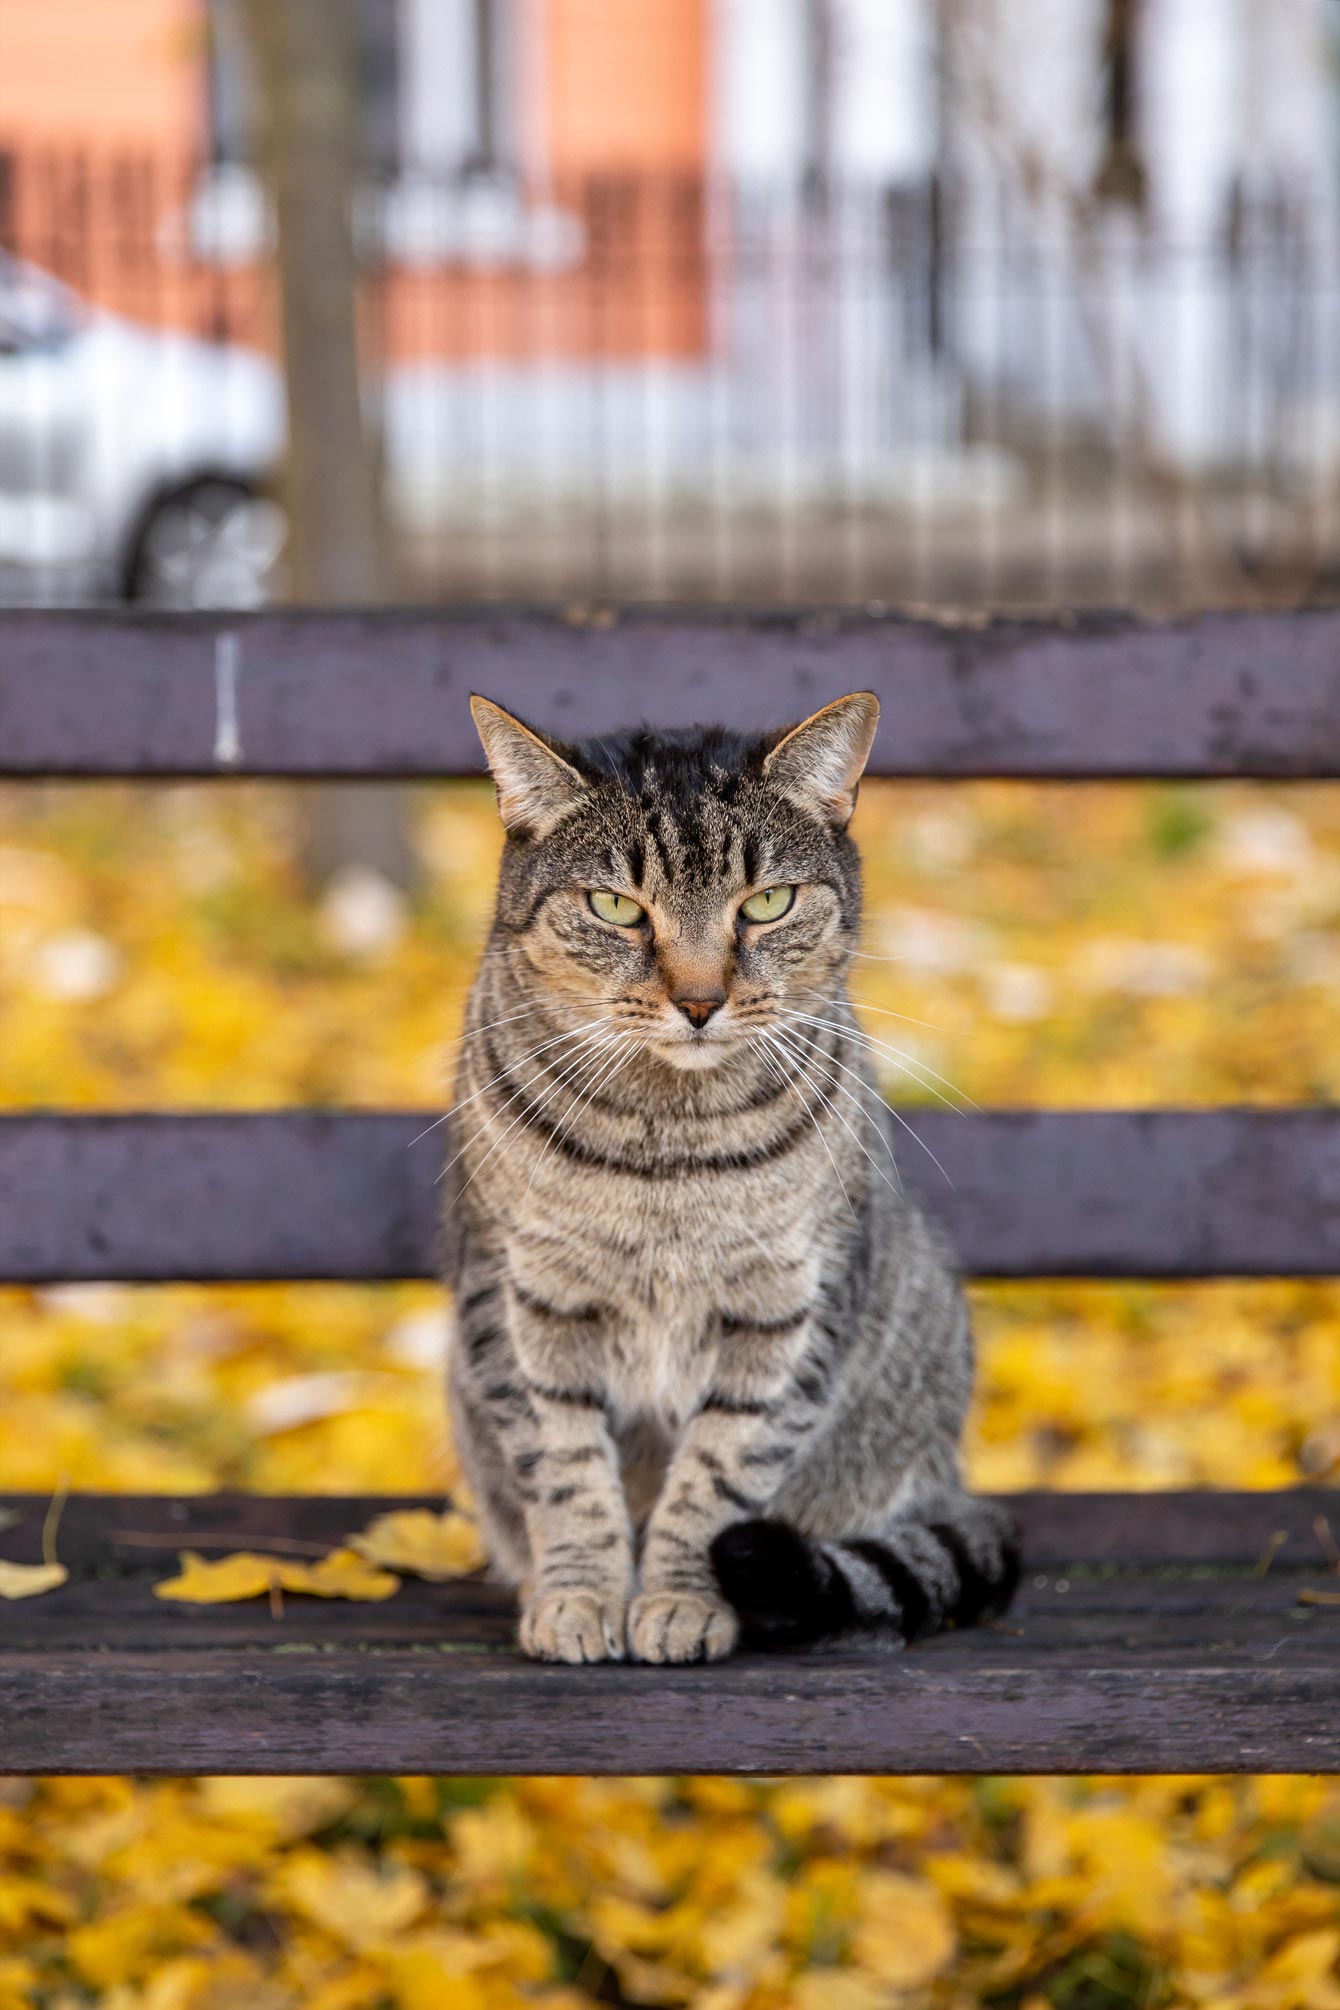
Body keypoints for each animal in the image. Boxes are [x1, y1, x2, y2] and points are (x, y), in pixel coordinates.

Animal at [441, 691, 1016, 1664]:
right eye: (616, 908)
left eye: (768, 904)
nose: (700, 1002)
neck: (667, 1147)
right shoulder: (518, 1295)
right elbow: (566, 1469)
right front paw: (581, 1594)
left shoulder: (790, 1307)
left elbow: (717, 1476)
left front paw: (680, 1599)